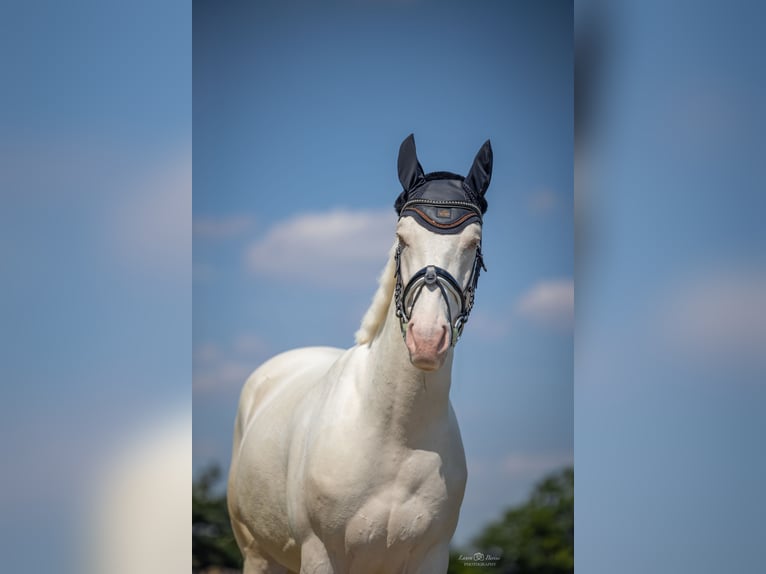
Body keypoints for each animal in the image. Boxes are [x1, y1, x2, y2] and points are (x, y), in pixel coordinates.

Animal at [227, 134, 493, 574]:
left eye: (474, 244)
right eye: (402, 239)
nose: (426, 339)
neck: (395, 433)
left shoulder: (430, 555)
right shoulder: (320, 553)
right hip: (258, 555)